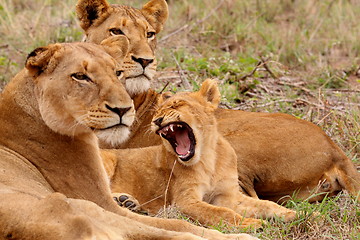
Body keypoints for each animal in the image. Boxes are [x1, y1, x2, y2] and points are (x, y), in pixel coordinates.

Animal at [0, 39, 258, 240]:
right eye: (80, 76)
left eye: (117, 73)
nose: (123, 109)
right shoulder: (100, 202)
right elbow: (176, 223)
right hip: (83, 206)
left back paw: (127, 199)